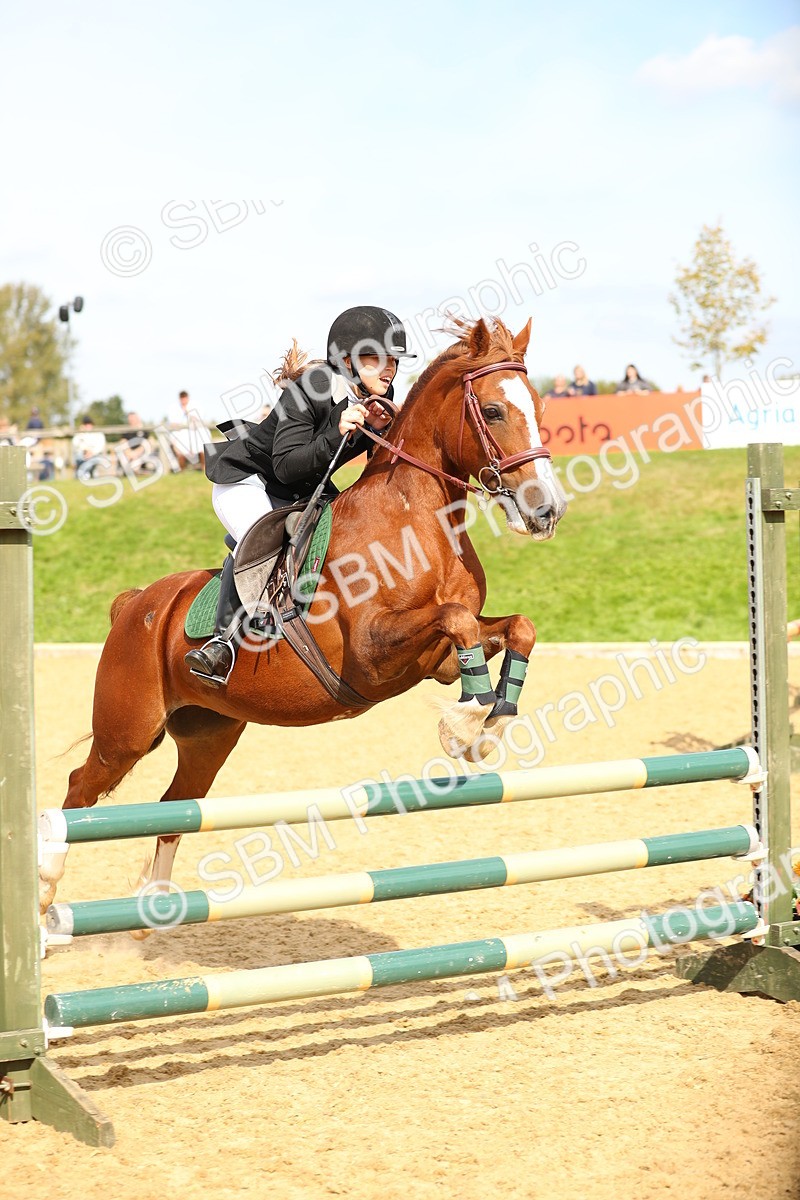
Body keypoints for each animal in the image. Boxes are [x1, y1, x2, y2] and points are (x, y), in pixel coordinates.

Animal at [40, 316, 567, 912]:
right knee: (79, 788)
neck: (414, 520)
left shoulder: (437, 659)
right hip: (125, 733)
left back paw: (156, 902)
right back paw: (46, 889)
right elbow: (454, 619)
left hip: (208, 734)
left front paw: (491, 720)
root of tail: (136, 604)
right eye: (495, 411)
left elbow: (513, 627)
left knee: (177, 805)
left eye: (539, 408)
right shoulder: (373, 654)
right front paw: (465, 723)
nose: (547, 510)